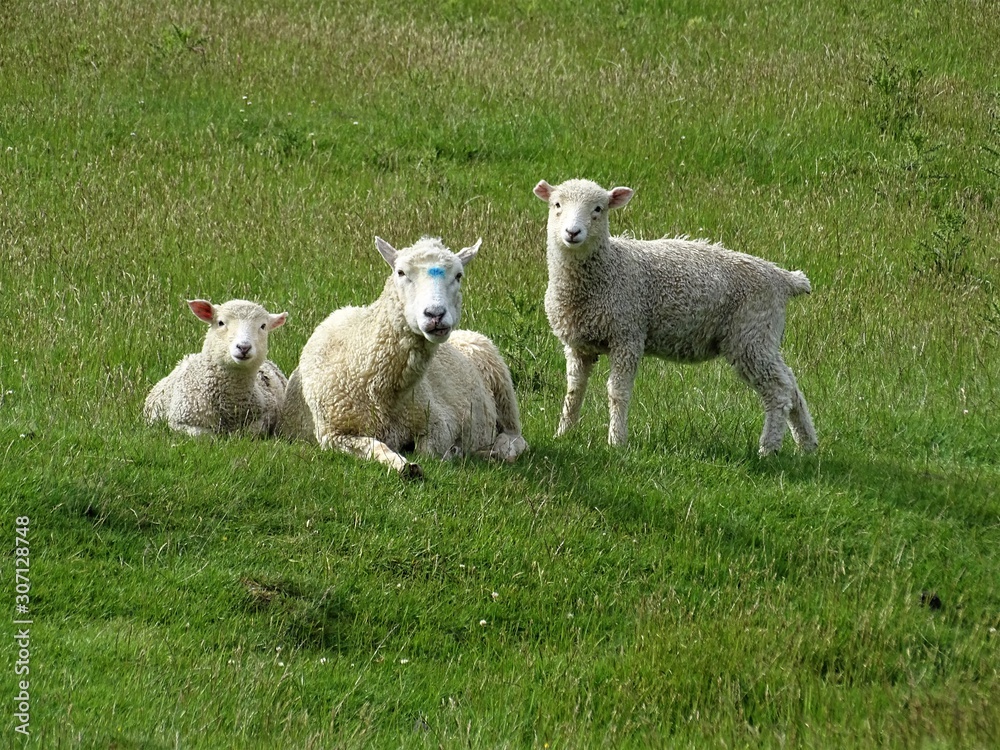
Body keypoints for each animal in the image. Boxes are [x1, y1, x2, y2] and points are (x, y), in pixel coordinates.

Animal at [144, 299, 289, 437]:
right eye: (221, 322)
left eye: (263, 326)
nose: (244, 347)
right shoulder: (180, 422)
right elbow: (205, 436)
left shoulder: (263, 418)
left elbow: (251, 432)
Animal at [278, 236, 528, 477]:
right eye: (400, 272)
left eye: (458, 275)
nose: (435, 314)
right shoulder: (332, 435)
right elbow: (375, 446)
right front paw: (403, 465)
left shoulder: (440, 422)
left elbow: (429, 450)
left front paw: (452, 452)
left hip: (503, 391)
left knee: (517, 438)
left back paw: (500, 449)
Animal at [533, 178, 817, 456]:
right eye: (557, 205)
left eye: (598, 209)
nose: (573, 233)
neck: (608, 268)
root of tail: (784, 278)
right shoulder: (577, 345)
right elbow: (574, 390)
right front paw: (564, 434)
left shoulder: (627, 334)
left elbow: (617, 392)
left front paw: (616, 442)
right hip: (763, 334)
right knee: (791, 384)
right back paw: (807, 446)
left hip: (751, 333)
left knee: (778, 390)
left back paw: (768, 448)